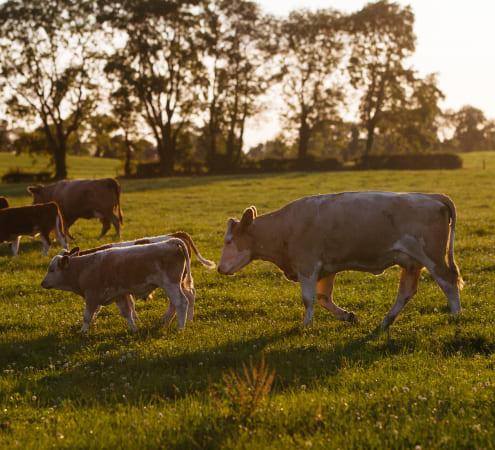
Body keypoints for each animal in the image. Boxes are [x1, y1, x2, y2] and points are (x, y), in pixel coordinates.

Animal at [40, 239, 194, 330]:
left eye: (51, 269)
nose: (42, 283)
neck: (83, 267)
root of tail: (170, 242)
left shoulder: (91, 296)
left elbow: (87, 316)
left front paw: (82, 332)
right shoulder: (119, 295)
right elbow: (127, 313)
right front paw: (134, 329)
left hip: (170, 284)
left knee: (181, 302)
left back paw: (180, 328)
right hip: (176, 284)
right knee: (178, 302)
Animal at [218, 192, 464, 328]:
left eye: (229, 241)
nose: (220, 268)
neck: (284, 227)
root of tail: (431, 197)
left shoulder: (307, 265)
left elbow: (309, 298)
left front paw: (306, 326)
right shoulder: (327, 268)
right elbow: (323, 297)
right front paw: (348, 316)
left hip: (432, 257)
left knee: (448, 282)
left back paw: (457, 316)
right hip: (411, 263)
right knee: (405, 292)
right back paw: (385, 322)